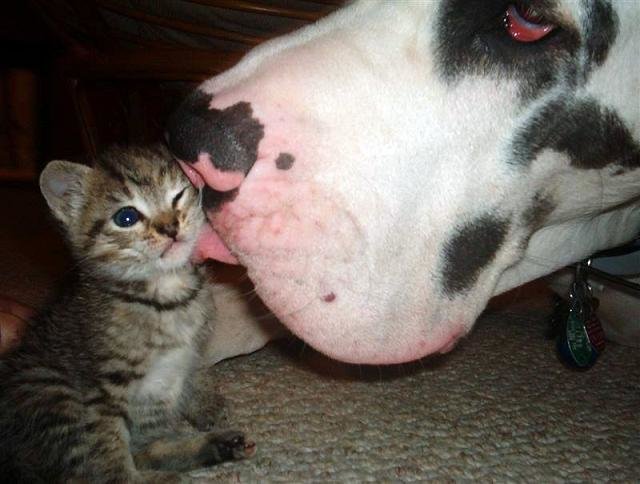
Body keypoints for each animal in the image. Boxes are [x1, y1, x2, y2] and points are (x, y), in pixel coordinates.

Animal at [0, 146, 255, 482]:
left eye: (178, 196)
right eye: (127, 217)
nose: (171, 228)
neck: (165, 296)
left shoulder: (192, 352)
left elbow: (196, 374)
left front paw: (207, 404)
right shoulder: (99, 390)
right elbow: (108, 449)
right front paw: (122, 474)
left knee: (148, 451)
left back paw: (220, 445)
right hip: (53, 392)